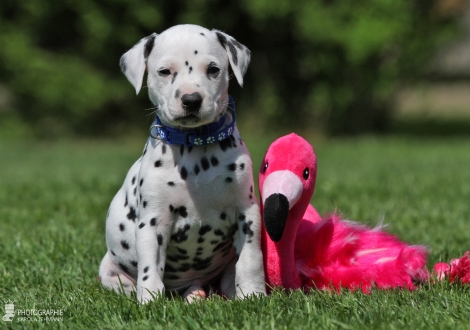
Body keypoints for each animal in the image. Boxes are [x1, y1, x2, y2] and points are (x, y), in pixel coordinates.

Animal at [98, 24, 268, 302]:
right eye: (164, 72)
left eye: (213, 69)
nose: (191, 100)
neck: (195, 145)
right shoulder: (153, 220)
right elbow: (150, 267)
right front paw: (149, 301)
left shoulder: (247, 211)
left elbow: (251, 260)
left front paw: (253, 295)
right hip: (109, 270)